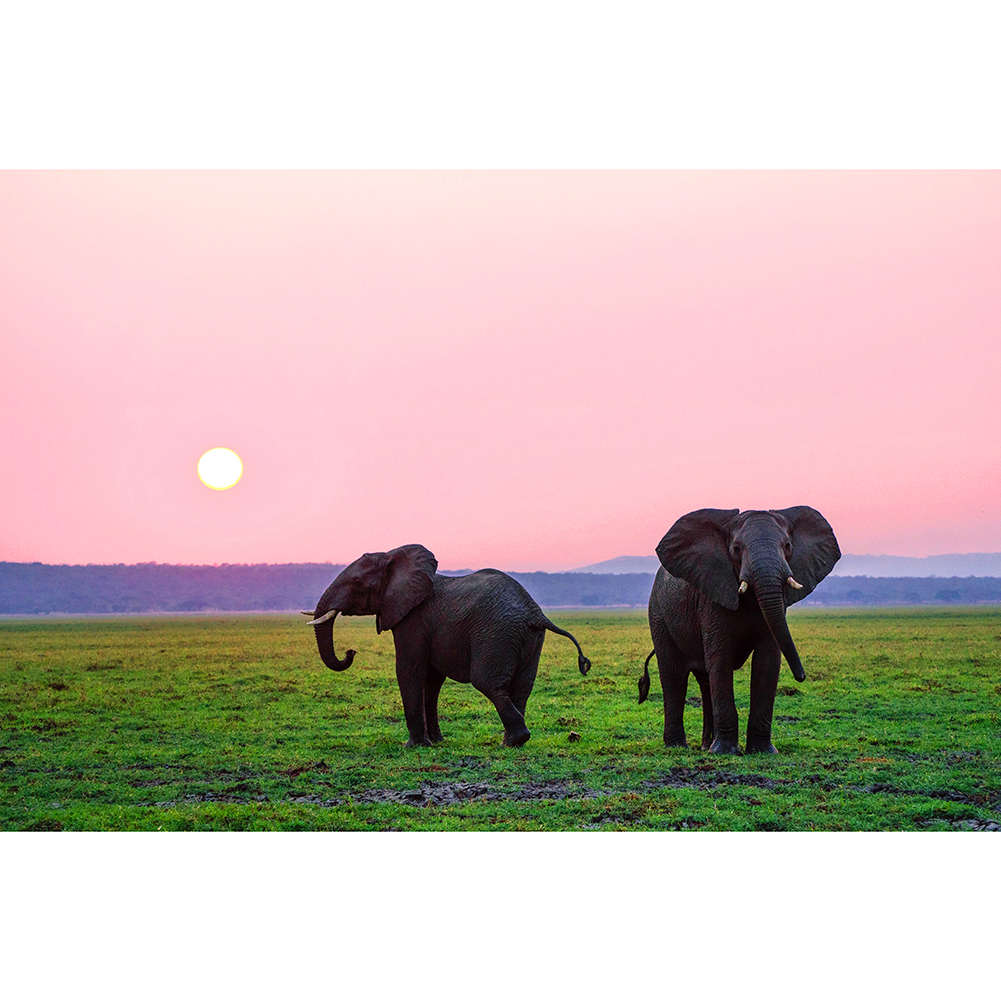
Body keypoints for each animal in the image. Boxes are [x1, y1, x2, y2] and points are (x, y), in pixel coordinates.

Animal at [305, 544, 591, 747]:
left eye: (356, 584)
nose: (350, 652)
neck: (393, 556)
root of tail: (535, 613)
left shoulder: (412, 619)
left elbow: (409, 671)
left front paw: (415, 746)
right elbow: (432, 681)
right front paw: (437, 742)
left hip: (496, 634)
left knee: (488, 682)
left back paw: (513, 740)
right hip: (529, 638)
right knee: (522, 687)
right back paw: (511, 742)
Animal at [638, 507, 840, 754]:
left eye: (787, 546)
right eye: (736, 549)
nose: (801, 677)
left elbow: (767, 662)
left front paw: (763, 751)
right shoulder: (712, 595)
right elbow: (721, 660)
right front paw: (725, 752)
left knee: (705, 680)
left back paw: (705, 747)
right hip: (659, 615)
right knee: (674, 676)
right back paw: (678, 747)